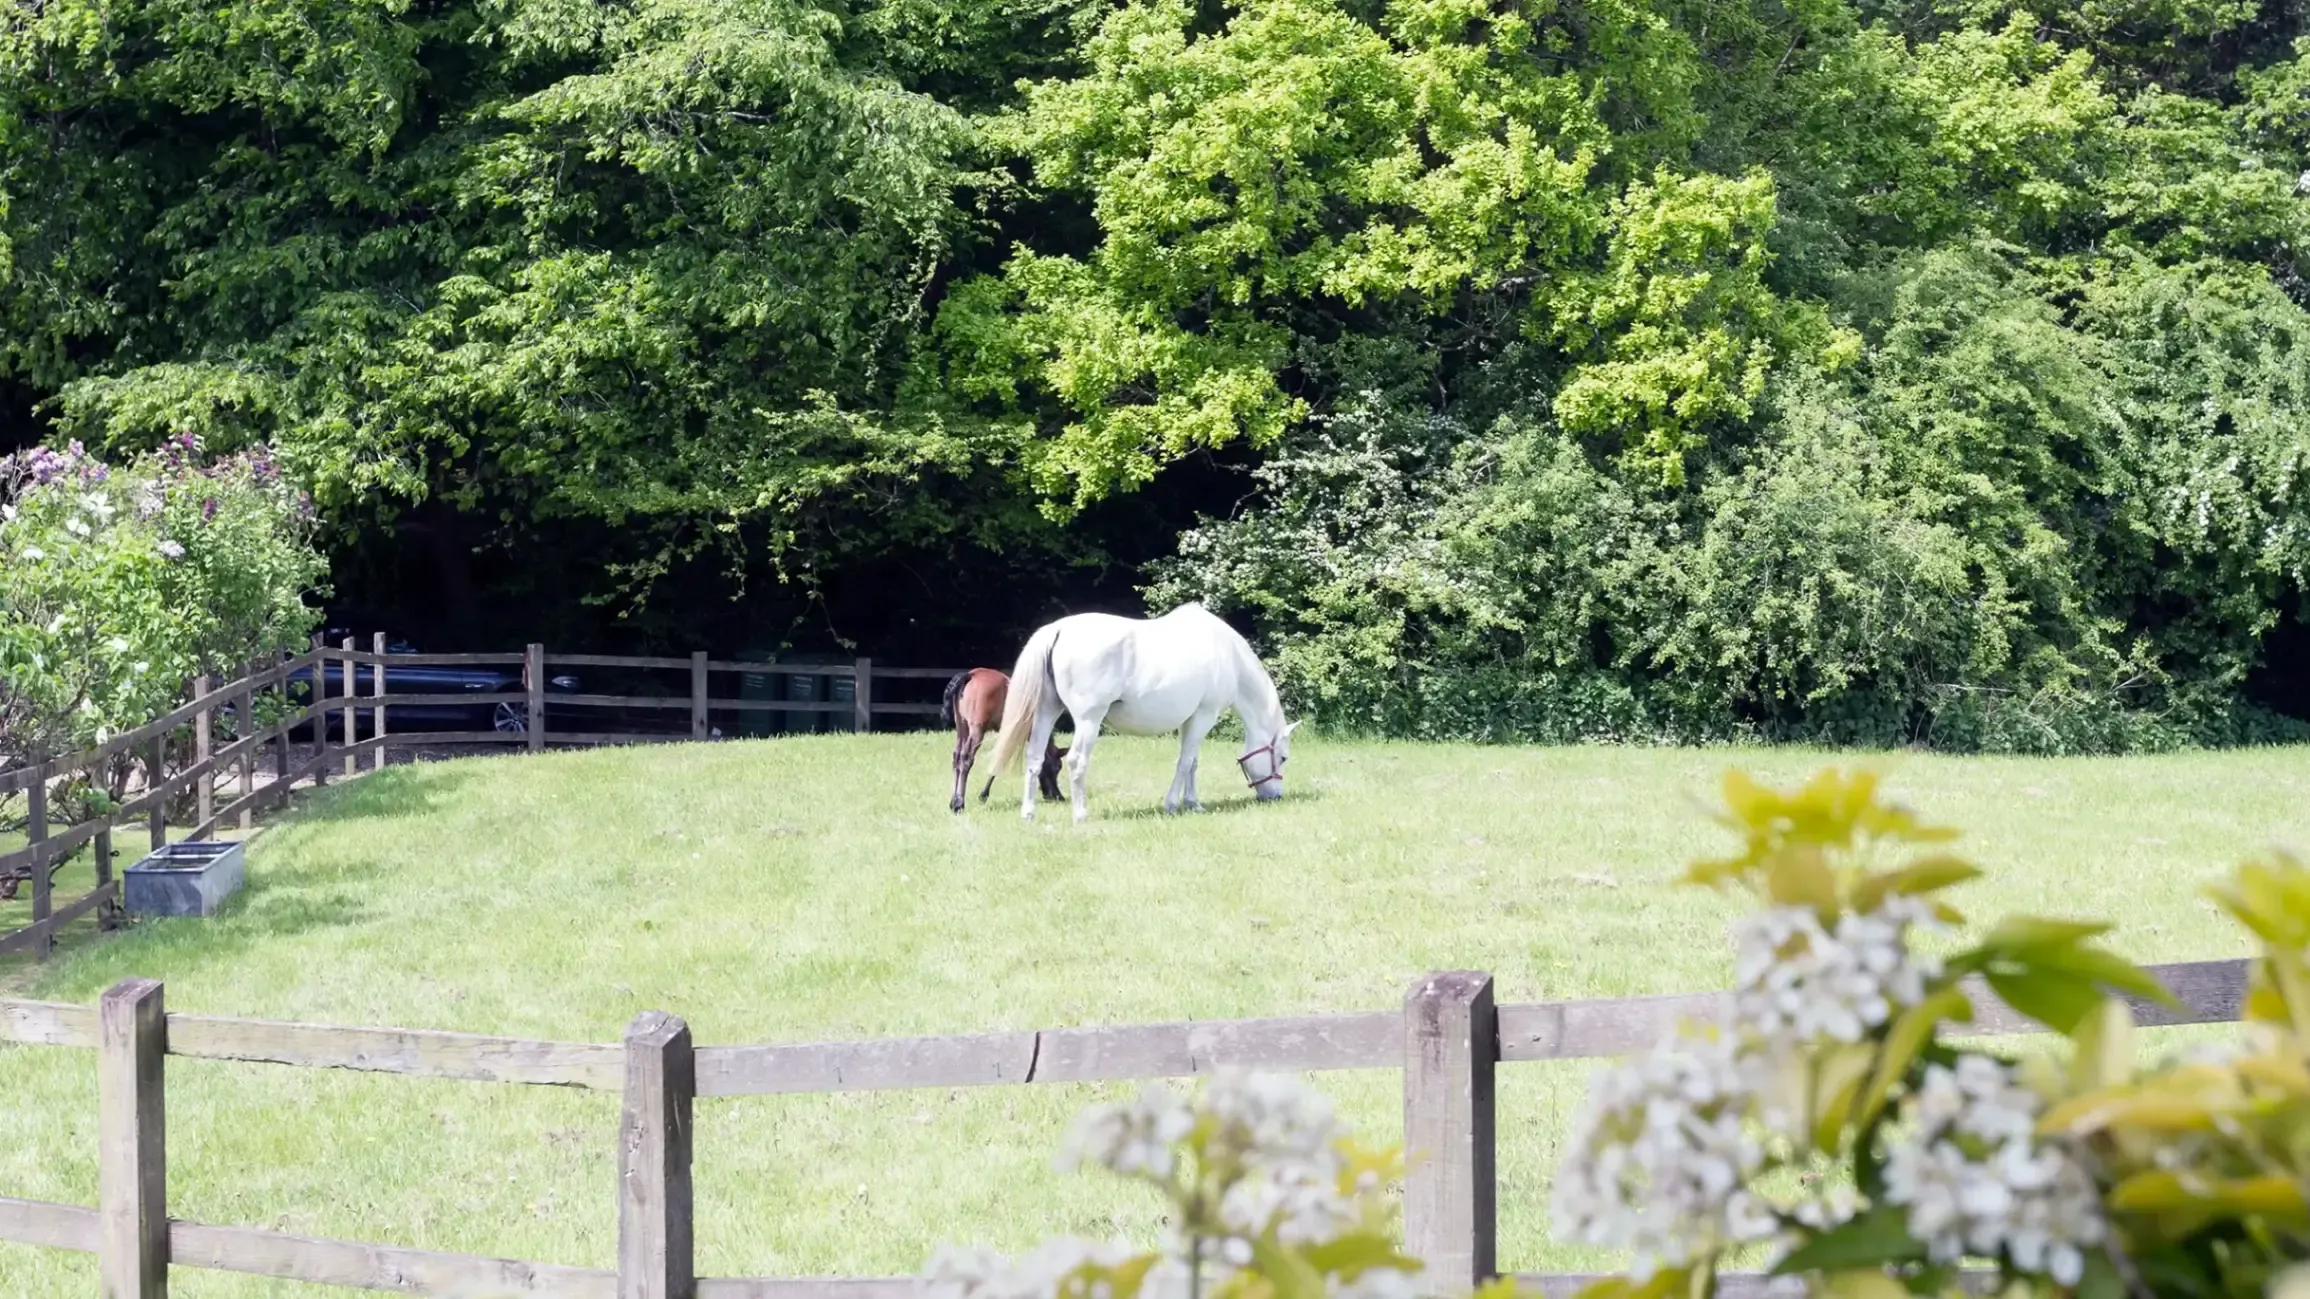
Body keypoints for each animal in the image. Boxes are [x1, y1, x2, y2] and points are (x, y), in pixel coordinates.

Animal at [940, 667, 1067, 813]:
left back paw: (953, 800)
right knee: (965, 759)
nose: (1058, 796)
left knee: (956, 757)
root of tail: (971, 674)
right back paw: (959, 803)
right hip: (976, 731)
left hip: (962, 727)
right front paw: (984, 794)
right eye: (1057, 767)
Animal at [980, 602, 1300, 823]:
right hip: (1089, 720)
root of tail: (1057, 630)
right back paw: (1081, 815)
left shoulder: (1190, 720)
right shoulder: (1204, 716)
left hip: (1047, 712)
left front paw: (1193, 803)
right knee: (1076, 761)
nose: (1274, 797)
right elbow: (1184, 763)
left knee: (1035, 759)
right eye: (1283, 757)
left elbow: (1193, 762)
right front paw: (1171, 804)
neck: (1227, 654)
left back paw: (1028, 814)